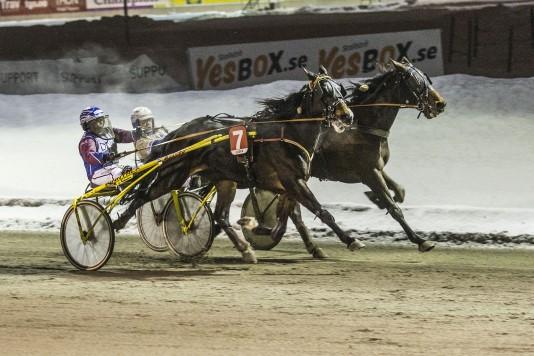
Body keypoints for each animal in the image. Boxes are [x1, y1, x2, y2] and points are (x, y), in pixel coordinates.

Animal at [266, 57, 448, 256]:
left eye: (426, 78)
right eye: (415, 81)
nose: (440, 103)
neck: (363, 127)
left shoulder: (376, 168)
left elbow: (399, 192)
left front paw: (376, 198)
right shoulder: (369, 172)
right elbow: (393, 207)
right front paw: (420, 240)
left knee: (293, 209)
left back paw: (306, 244)